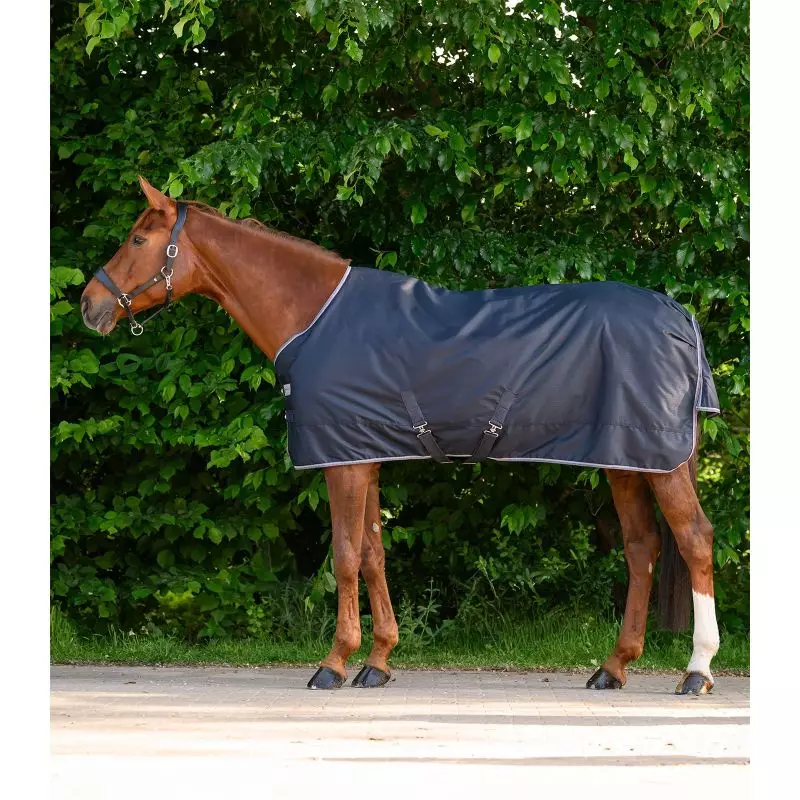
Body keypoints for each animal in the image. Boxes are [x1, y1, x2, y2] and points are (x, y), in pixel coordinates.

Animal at [80, 177, 721, 695]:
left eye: (137, 240)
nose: (89, 305)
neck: (313, 317)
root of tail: (681, 317)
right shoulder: (364, 456)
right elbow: (372, 554)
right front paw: (378, 661)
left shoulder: (342, 463)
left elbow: (343, 557)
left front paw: (334, 663)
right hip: (628, 461)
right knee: (641, 547)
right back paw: (613, 668)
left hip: (658, 462)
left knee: (694, 540)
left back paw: (697, 671)